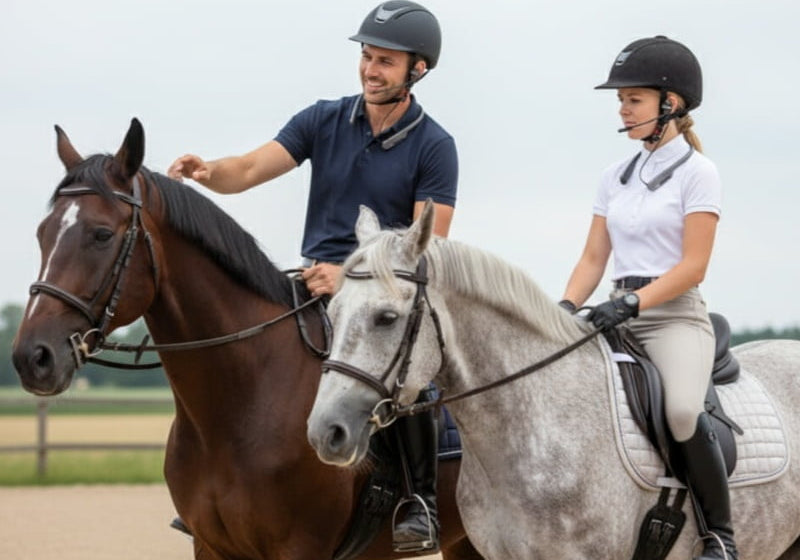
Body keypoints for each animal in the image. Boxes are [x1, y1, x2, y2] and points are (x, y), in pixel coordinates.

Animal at [11, 119, 482, 560]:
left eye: (102, 234)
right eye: (42, 233)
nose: (33, 357)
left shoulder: (300, 547)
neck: (240, 406)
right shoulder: (211, 546)